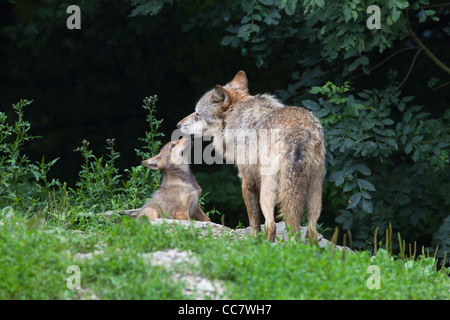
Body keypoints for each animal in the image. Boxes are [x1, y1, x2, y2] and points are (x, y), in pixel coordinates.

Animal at [178, 70, 326, 240]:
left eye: (197, 114)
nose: (178, 125)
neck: (236, 119)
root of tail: (299, 132)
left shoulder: (247, 181)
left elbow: (254, 222)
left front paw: (253, 241)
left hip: (268, 191)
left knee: (271, 225)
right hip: (314, 191)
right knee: (311, 230)